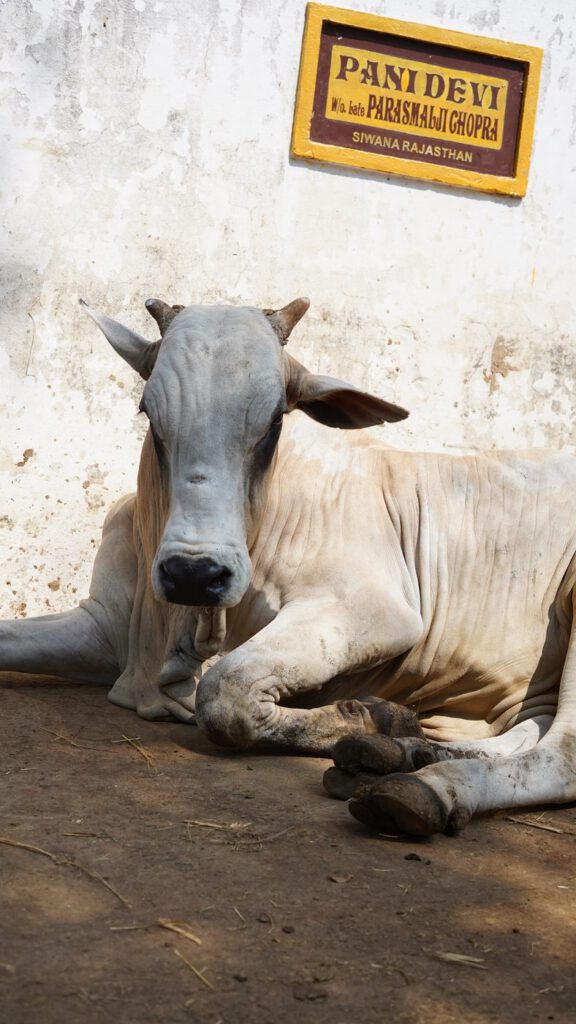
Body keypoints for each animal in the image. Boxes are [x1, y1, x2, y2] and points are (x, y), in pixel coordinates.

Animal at [1, 296, 575, 838]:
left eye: (276, 419)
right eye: (148, 410)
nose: (194, 574)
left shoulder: (375, 610)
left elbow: (224, 693)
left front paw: (361, 716)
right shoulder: (103, 624)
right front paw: (380, 725)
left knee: (560, 757)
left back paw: (425, 787)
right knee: (527, 734)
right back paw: (403, 753)